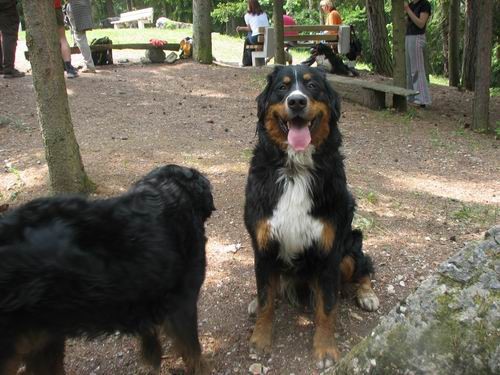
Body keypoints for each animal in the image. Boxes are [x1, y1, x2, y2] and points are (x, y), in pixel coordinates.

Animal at [243, 65, 378, 370]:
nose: (296, 101)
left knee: (364, 267)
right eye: (282, 88)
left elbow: (327, 308)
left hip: (350, 246)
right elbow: (266, 298)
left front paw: (325, 350)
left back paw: (367, 294)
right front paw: (259, 340)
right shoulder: (263, 246)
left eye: (312, 86)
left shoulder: (330, 251)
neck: (295, 171)